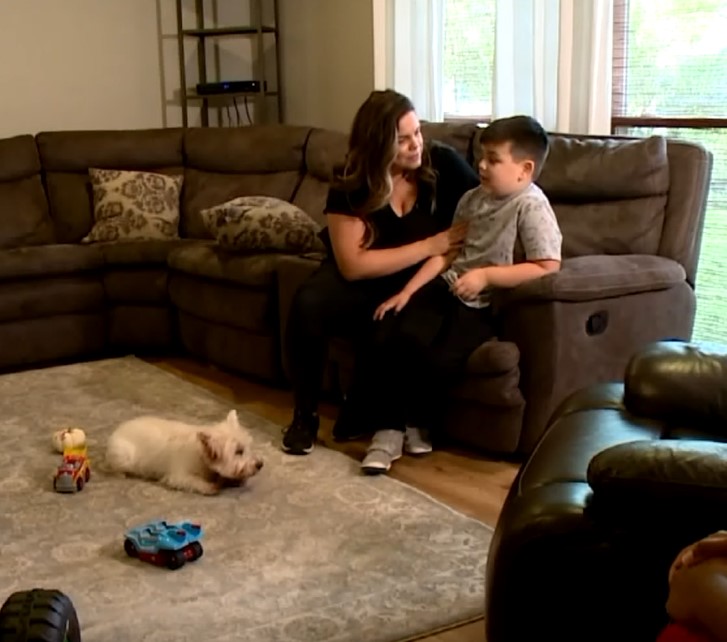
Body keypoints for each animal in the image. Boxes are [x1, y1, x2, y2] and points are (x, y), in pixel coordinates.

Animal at [102, 408, 262, 492]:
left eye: (249, 446)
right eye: (238, 451)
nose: (260, 464)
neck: (201, 456)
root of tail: (116, 431)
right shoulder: (178, 476)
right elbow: (198, 483)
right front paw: (213, 486)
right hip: (124, 456)